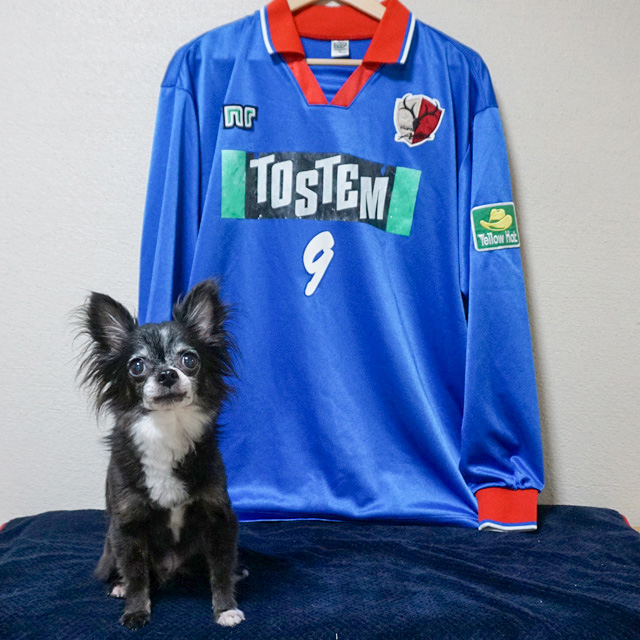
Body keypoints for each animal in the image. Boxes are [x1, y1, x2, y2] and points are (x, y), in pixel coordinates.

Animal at [77, 279, 245, 629]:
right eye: (137, 366)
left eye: (189, 360)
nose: (167, 374)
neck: (167, 429)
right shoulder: (126, 527)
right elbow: (137, 575)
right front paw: (136, 610)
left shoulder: (219, 519)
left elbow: (221, 570)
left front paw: (225, 608)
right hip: (110, 548)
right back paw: (119, 586)